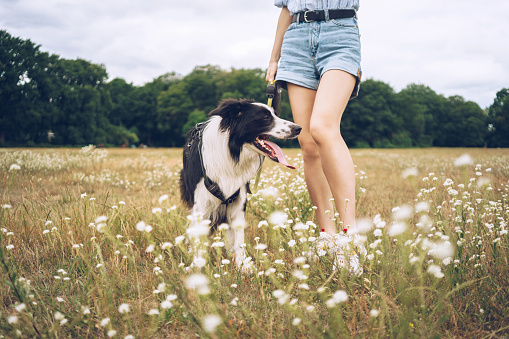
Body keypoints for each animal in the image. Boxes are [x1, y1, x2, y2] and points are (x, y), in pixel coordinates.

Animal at [179, 98, 300, 268]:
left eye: (275, 114)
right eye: (265, 117)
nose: (298, 128)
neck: (232, 152)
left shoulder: (238, 200)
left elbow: (239, 239)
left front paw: (243, 266)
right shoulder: (201, 204)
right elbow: (198, 238)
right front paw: (198, 265)